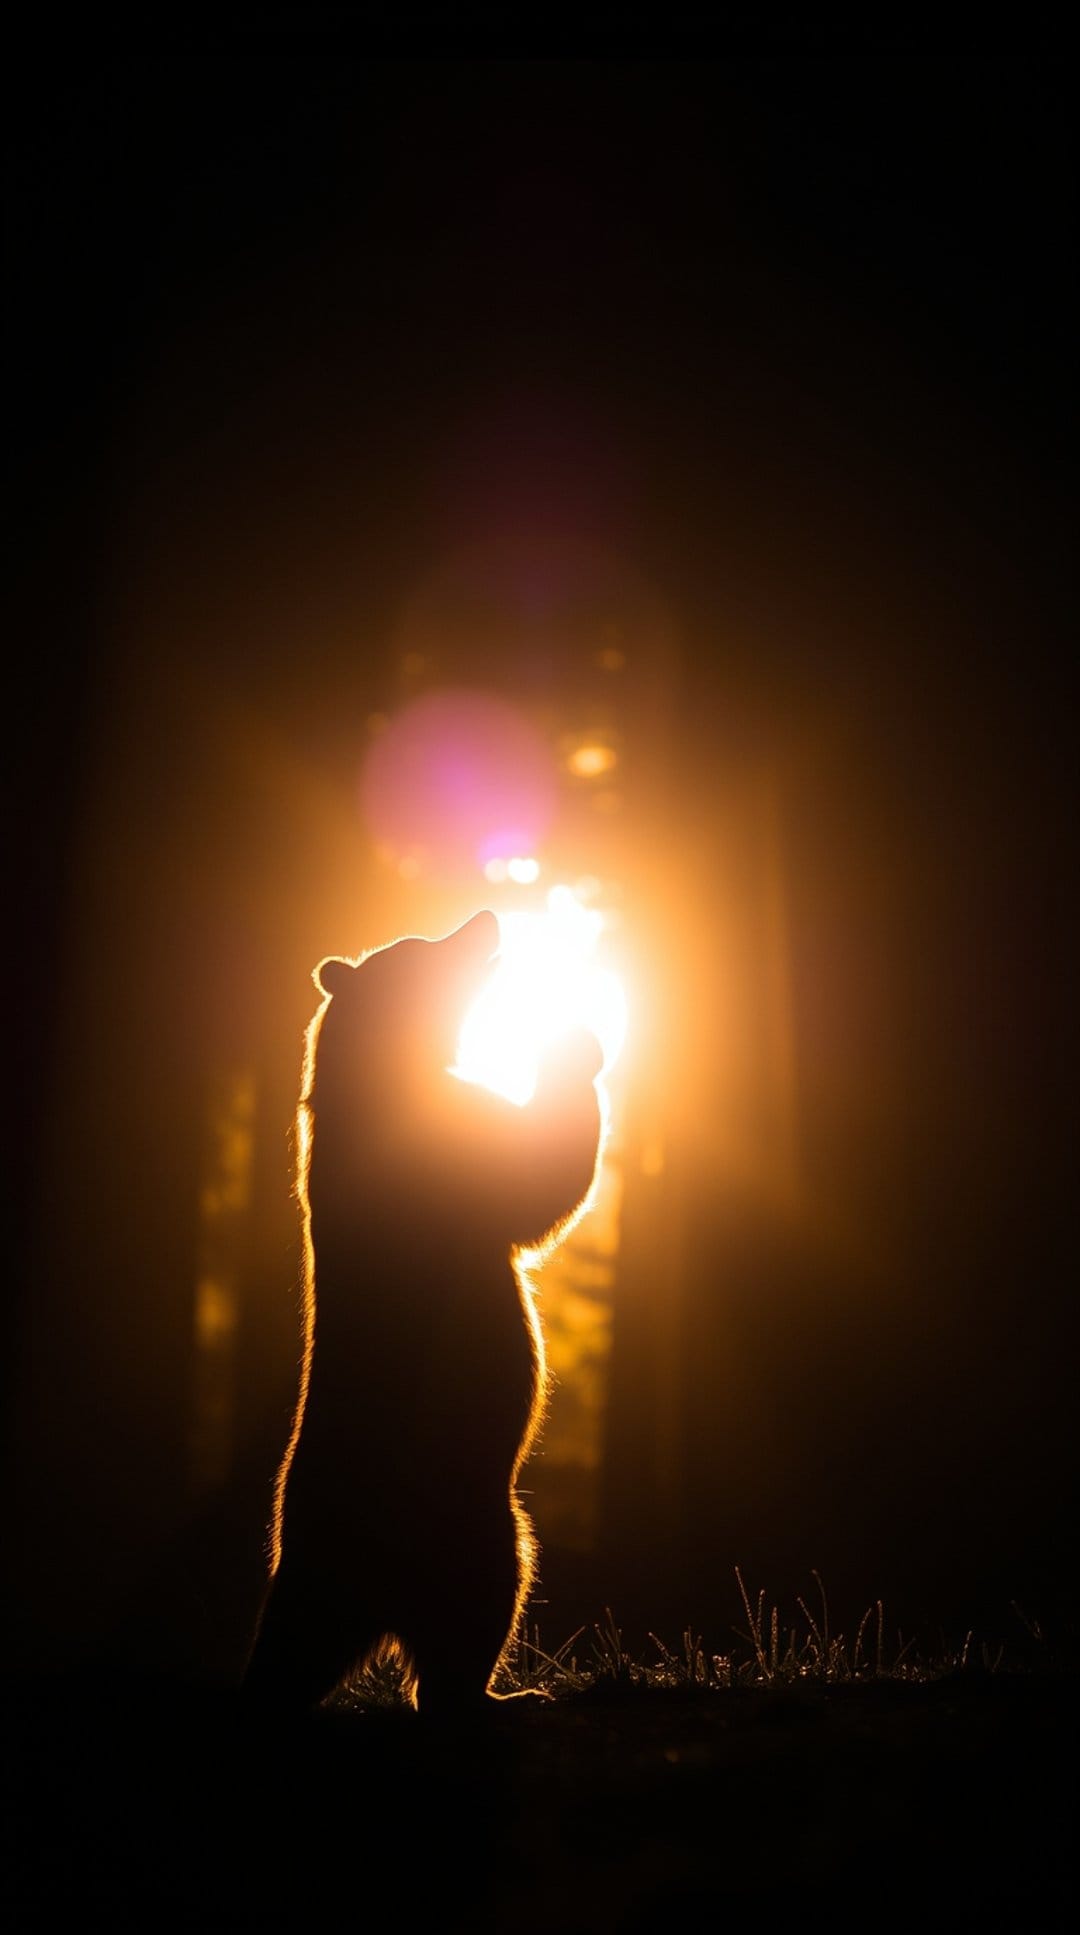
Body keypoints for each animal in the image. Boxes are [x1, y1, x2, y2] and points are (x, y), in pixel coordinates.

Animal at [243, 908, 605, 1718]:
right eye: (424, 948)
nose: (485, 917)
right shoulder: (444, 1152)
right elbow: (535, 1181)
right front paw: (572, 1039)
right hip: (467, 1513)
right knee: (481, 1602)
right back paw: (505, 1692)